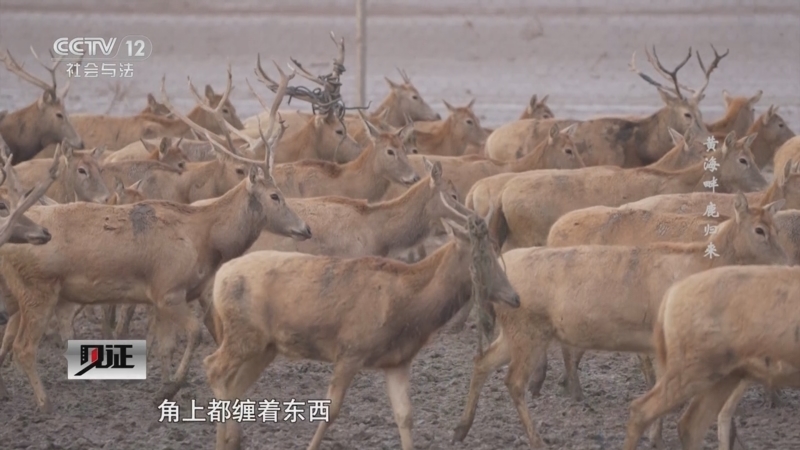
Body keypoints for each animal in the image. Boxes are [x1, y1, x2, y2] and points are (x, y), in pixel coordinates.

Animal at [0, 61, 313, 412]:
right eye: (275, 196)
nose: (305, 228)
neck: (205, 239)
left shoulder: (162, 295)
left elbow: (166, 345)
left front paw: (165, 389)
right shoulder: (168, 289)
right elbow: (194, 335)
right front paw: (172, 386)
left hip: (21, 295)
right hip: (37, 290)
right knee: (24, 346)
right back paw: (44, 402)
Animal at [203, 197, 520, 450]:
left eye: (496, 248)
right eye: (482, 256)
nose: (515, 297)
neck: (410, 309)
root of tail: (219, 279)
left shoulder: (397, 361)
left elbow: (405, 416)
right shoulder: (351, 349)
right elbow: (331, 411)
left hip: (264, 346)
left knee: (234, 387)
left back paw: (232, 440)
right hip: (242, 334)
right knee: (213, 367)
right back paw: (224, 439)